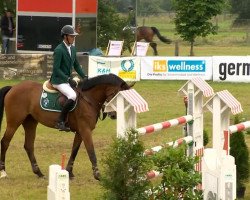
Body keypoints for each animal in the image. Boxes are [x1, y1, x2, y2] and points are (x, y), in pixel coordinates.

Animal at [0, 74, 133, 180]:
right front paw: (97, 175)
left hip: (30, 122)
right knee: (5, 142)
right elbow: (91, 150)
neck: (88, 98)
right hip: (14, 122)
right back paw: (3, 172)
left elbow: (75, 150)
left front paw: (69, 172)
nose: (113, 115)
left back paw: (39, 173)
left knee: (28, 145)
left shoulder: (80, 131)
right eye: (115, 95)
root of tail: (13, 87)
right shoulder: (85, 130)